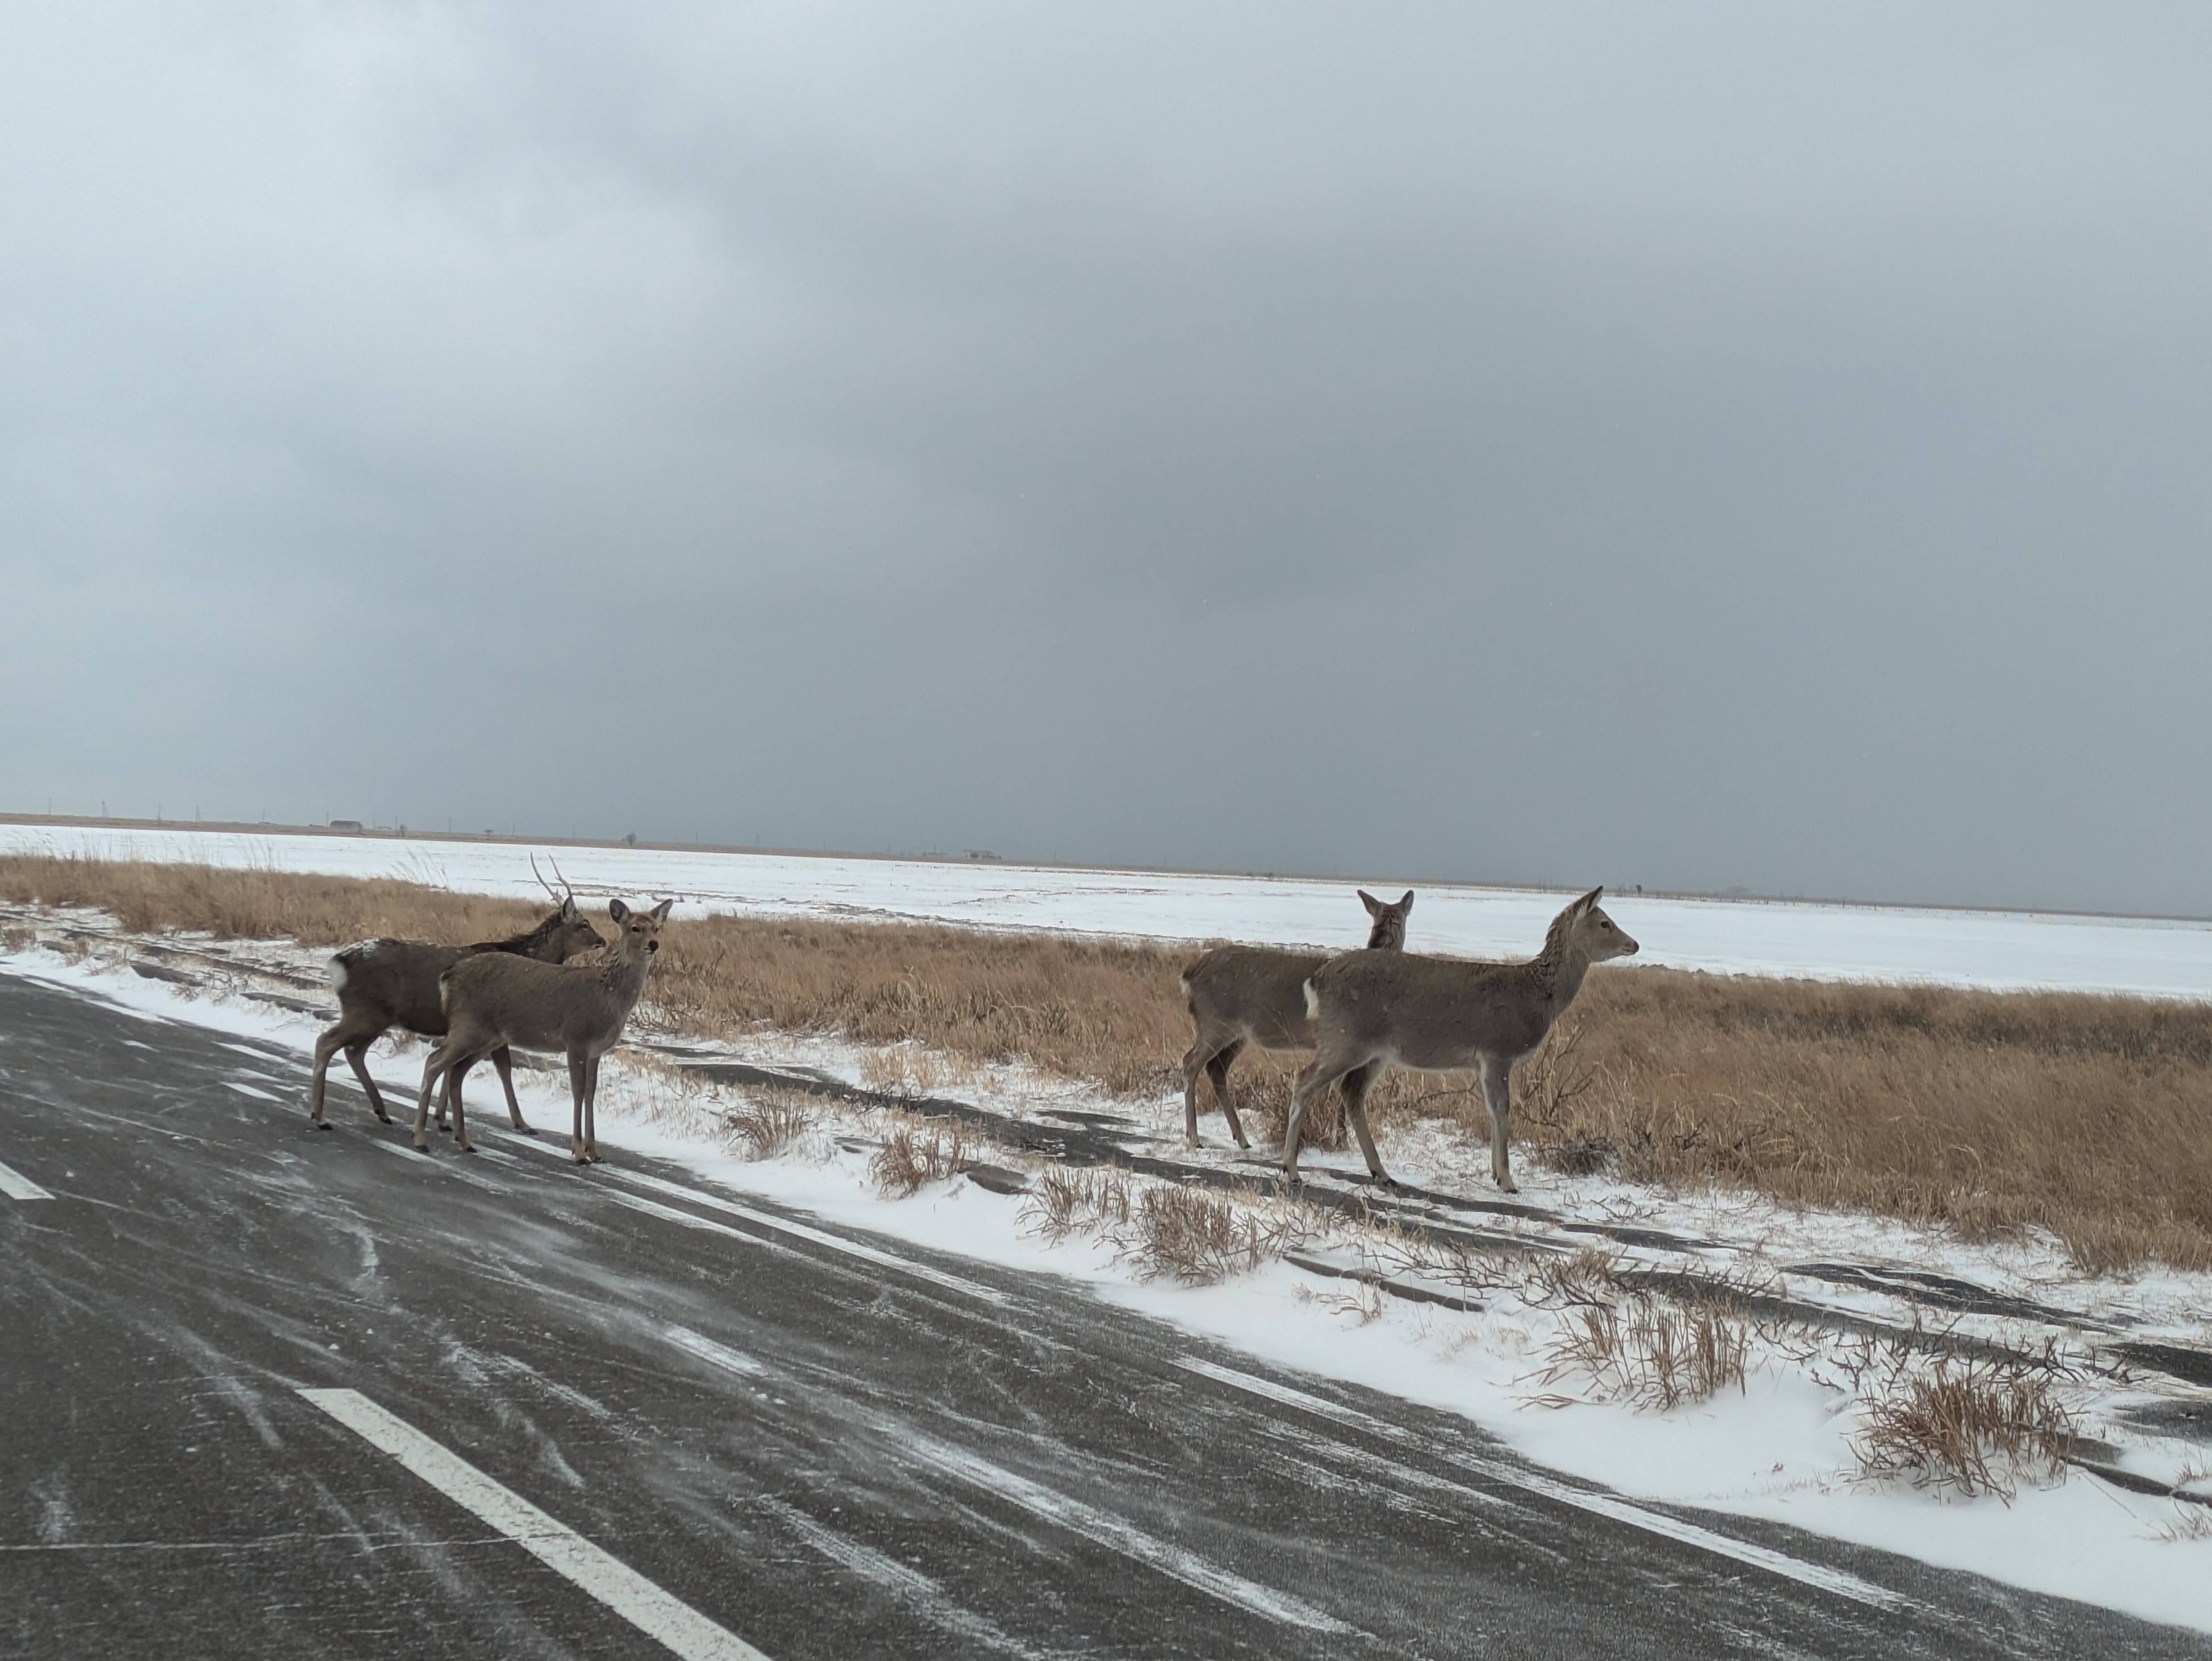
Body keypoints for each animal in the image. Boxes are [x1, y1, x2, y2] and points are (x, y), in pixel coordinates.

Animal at [308, 861, 604, 1133]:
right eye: (584, 924)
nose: (602, 940)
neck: (529, 959)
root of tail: (338, 962)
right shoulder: (495, 1027)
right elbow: (503, 1069)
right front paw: (522, 1124)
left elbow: (454, 1068)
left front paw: (441, 1118)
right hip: (366, 1012)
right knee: (327, 1042)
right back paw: (320, 1117)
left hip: (378, 1016)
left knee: (353, 1051)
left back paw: (381, 1111)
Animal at [411, 897, 674, 1163]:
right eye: (635, 928)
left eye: (657, 928)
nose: (654, 944)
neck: (608, 994)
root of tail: (448, 975)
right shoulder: (576, 1039)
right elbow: (578, 1092)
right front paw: (579, 1152)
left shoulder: (596, 1051)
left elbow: (591, 1093)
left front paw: (595, 1151)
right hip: (469, 1027)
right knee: (434, 1062)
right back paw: (421, 1139)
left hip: (486, 1036)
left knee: (455, 1072)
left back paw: (464, 1141)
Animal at [1177, 889, 1413, 1149]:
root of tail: (1189, 974)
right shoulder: (1345, 1040)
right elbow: (1342, 1089)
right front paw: (1341, 1140)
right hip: (1215, 1022)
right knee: (1190, 1063)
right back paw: (1194, 1137)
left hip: (1237, 1033)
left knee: (1216, 1069)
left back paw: (1242, 1139)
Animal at [1282, 886, 1638, 1192]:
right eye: (1605, 923)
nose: (1634, 944)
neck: (1537, 998)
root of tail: (1316, 981)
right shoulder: (1497, 1052)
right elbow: (1502, 1109)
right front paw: (1508, 1180)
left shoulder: (1485, 1061)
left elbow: (1492, 1110)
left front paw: (1496, 1174)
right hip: (1346, 1039)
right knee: (1304, 1081)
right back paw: (1292, 1170)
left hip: (1373, 1050)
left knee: (1350, 1091)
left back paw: (1381, 1173)